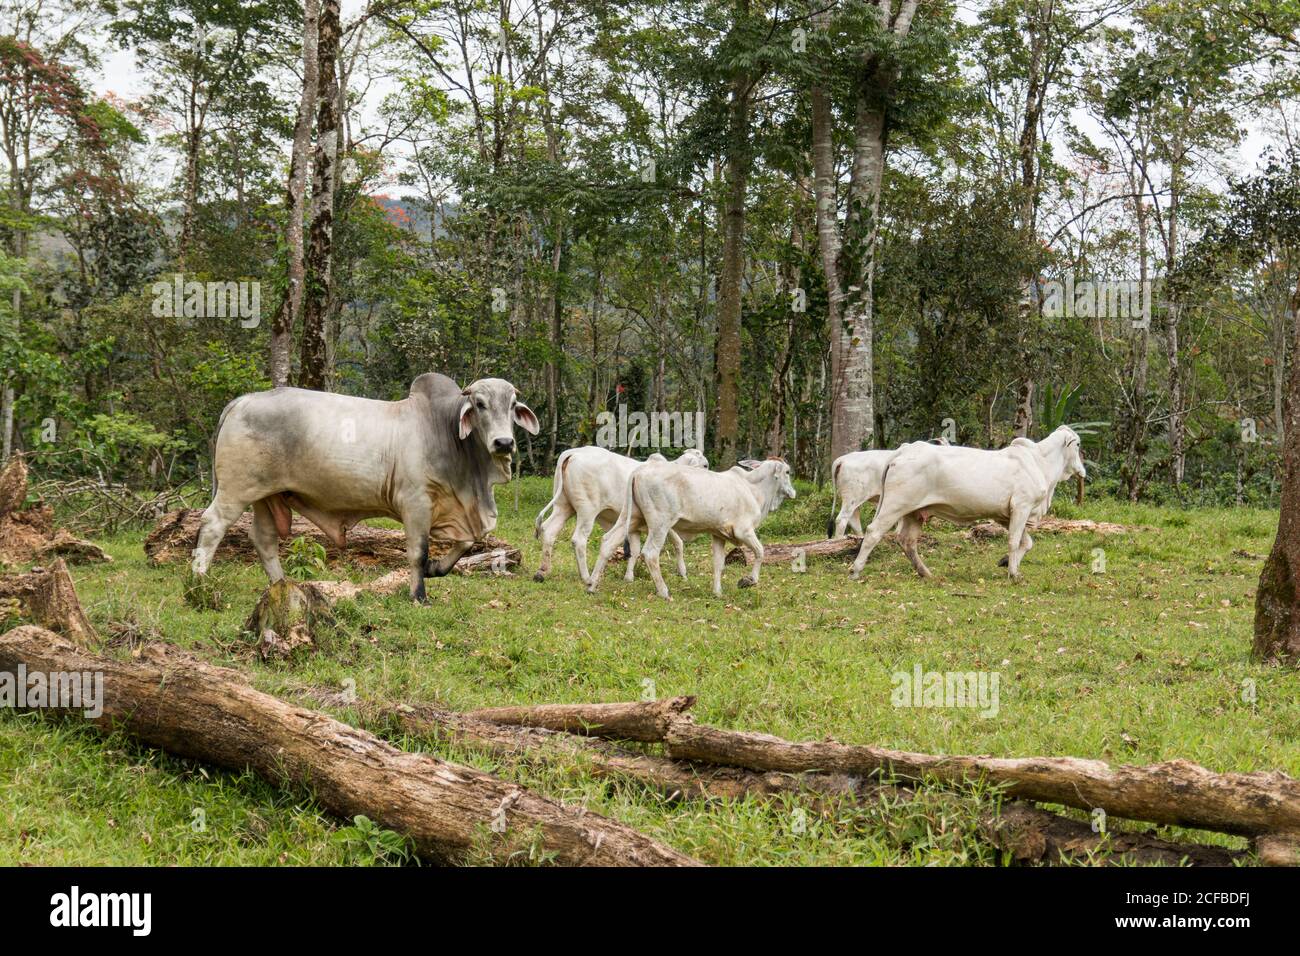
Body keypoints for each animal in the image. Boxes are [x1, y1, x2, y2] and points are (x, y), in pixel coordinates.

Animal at [530, 447, 707, 582]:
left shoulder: (636, 526)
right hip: (587, 510)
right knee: (579, 540)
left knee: (549, 530)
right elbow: (678, 543)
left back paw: (542, 571)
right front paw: (683, 572)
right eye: (705, 465)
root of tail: (574, 452)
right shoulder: (664, 521)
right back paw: (586, 577)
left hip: (563, 506)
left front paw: (629, 577)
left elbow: (635, 550)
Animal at [587, 455, 790, 598]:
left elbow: (718, 564)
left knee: (608, 542)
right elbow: (760, 552)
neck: (753, 489)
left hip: (632, 517)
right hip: (660, 523)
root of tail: (640, 470)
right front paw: (748, 580)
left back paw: (591, 585)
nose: (792, 492)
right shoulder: (744, 531)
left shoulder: (719, 535)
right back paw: (664, 591)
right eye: (787, 472)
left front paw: (717, 592)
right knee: (650, 553)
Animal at [847, 429, 1092, 580]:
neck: (1041, 462)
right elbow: (1014, 541)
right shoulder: (1021, 507)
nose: (1083, 471)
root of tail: (904, 449)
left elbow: (1026, 542)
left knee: (907, 541)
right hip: (895, 505)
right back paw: (855, 570)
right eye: (1078, 444)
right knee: (873, 532)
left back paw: (926, 573)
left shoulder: (1006, 515)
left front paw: (1007, 563)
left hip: (914, 512)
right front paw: (1013, 573)